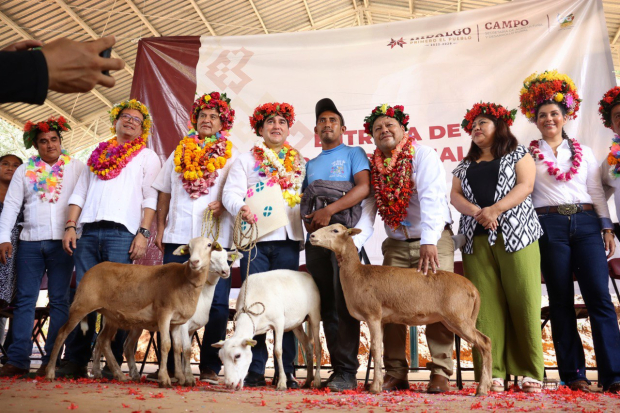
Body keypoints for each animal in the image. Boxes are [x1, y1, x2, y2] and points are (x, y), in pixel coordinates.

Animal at [46, 235, 222, 386]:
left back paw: (119, 375)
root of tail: (90, 270)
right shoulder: (164, 314)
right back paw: (50, 372)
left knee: (103, 341)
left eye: (209, 245)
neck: (184, 279)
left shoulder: (176, 322)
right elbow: (166, 345)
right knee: (62, 333)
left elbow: (178, 347)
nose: (194, 262)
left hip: (111, 316)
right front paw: (165, 379)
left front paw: (181, 377)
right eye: (189, 247)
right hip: (81, 305)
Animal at [310, 225, 494, 396]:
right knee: (484, 344)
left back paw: (482, 389)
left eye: (335, 230)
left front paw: (375, 388)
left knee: (485, 342)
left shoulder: (373, 314)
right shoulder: (381, 319)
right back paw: (487, 386)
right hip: (454, 319)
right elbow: (379, 349)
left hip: (459, 316)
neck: (357, 274)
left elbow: (375, 348)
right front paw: (378, 384)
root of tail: (473, 289)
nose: (311, 236)